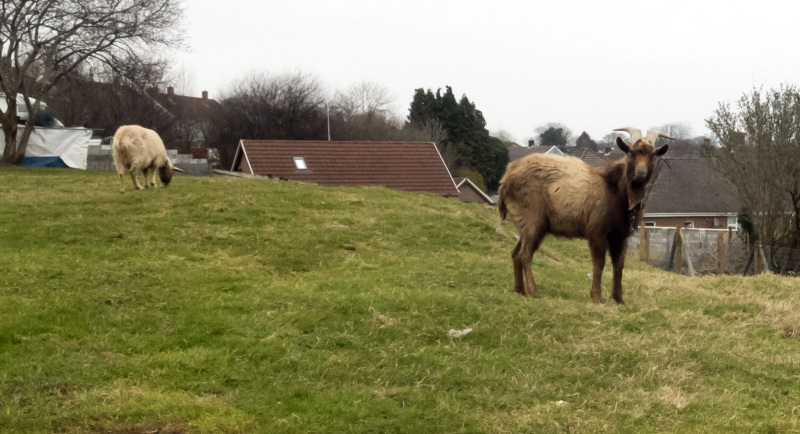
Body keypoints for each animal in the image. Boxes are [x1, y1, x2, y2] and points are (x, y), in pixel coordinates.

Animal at [500, 128, 668, 306]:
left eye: (653, 155)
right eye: (630, 153)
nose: (640, 173)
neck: (615, 191)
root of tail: (505, 179)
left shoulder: (620, 235)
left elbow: (619, 265)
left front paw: (619, 299)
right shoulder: (597, 230)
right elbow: (599, 264)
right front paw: (596, 297)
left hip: (524, 225)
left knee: (515, 254)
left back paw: (520, 290)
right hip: (533, 220)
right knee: (525, 255)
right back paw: (534, 292)